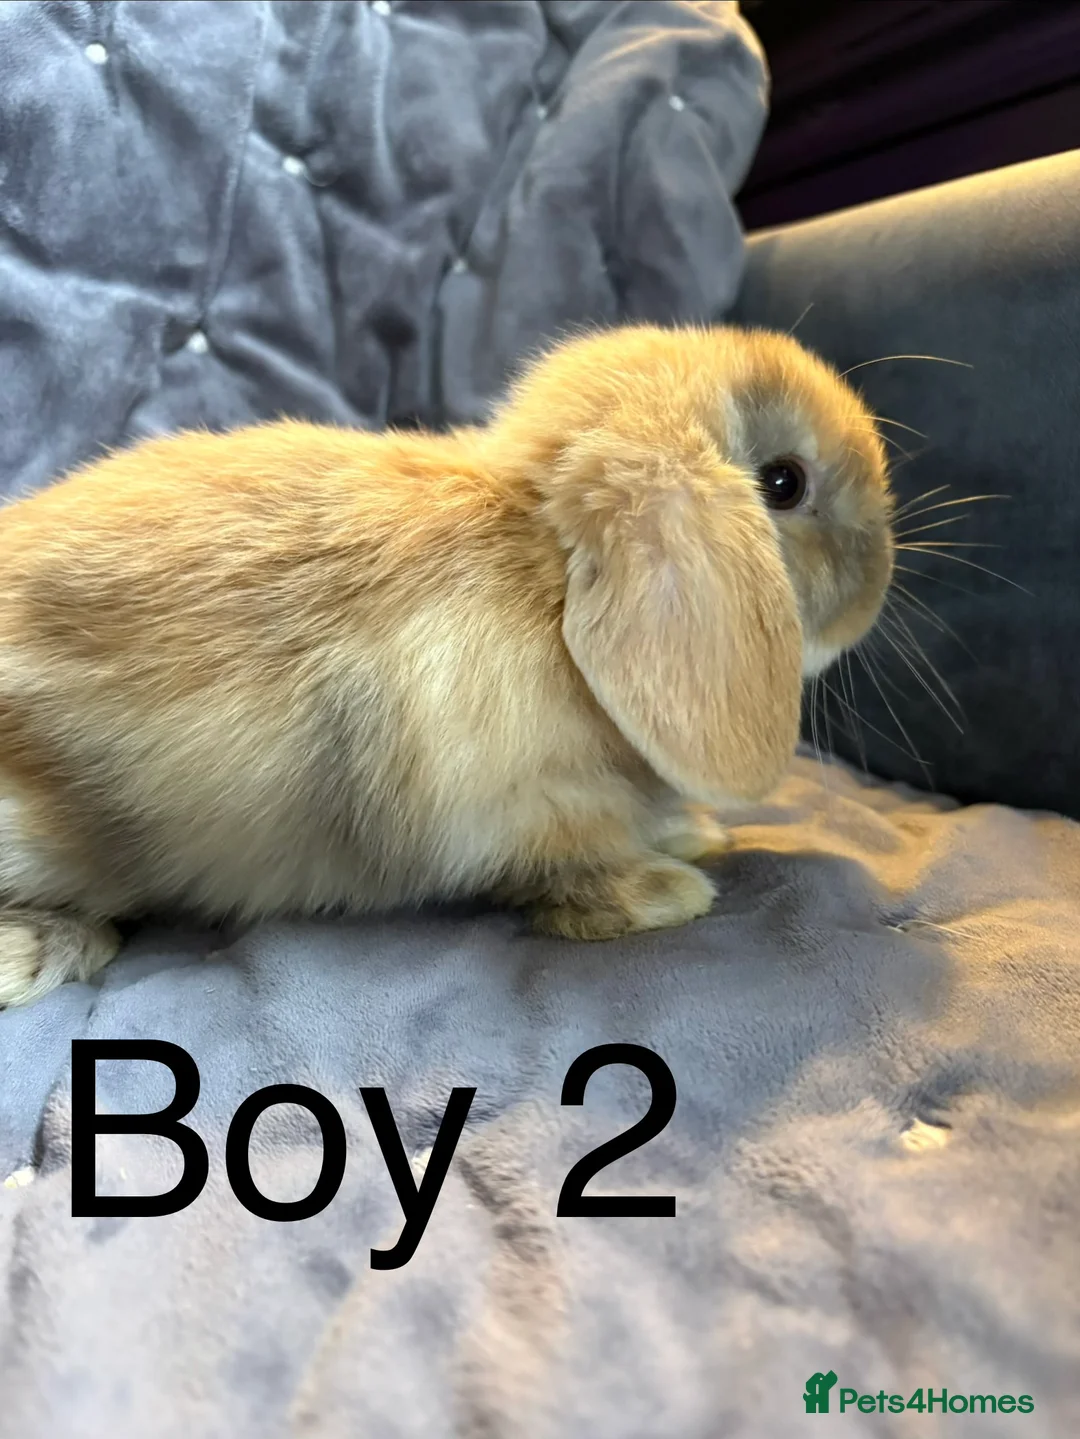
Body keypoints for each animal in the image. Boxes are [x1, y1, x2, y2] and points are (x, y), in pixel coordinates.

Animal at [0, 324, 892, 1007]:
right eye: (783, 482)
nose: (878, 581)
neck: (545, 568)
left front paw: (692, 834)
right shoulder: (521, 809)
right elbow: (563, 868)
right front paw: (662, 893)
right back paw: (43, 950)